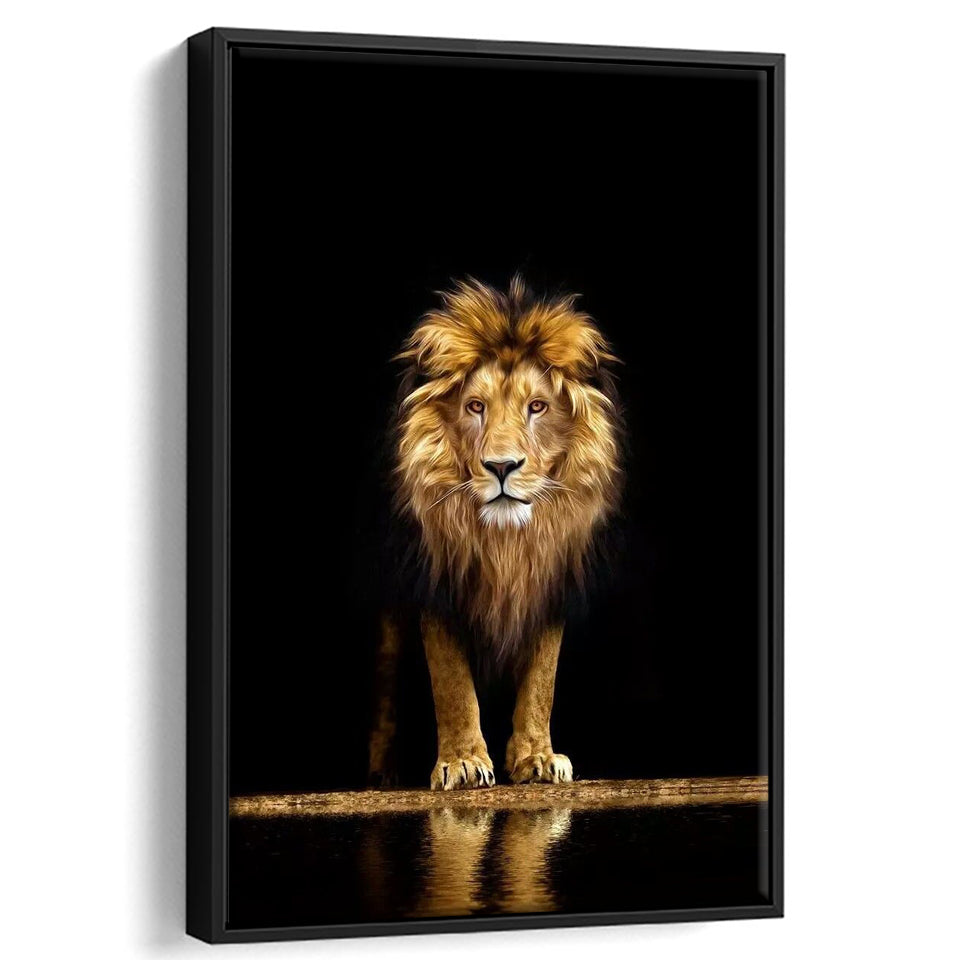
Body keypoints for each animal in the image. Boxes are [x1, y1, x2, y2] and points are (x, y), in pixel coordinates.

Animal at [368, 275, 623, 790]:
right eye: (475, 407)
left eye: (537, 407)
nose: (502, 466)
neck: (505, 543)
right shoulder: (437, 584)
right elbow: (451, 682)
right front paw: (463, 762)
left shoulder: (549, 582)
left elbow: (542, 680)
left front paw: (537, 758)